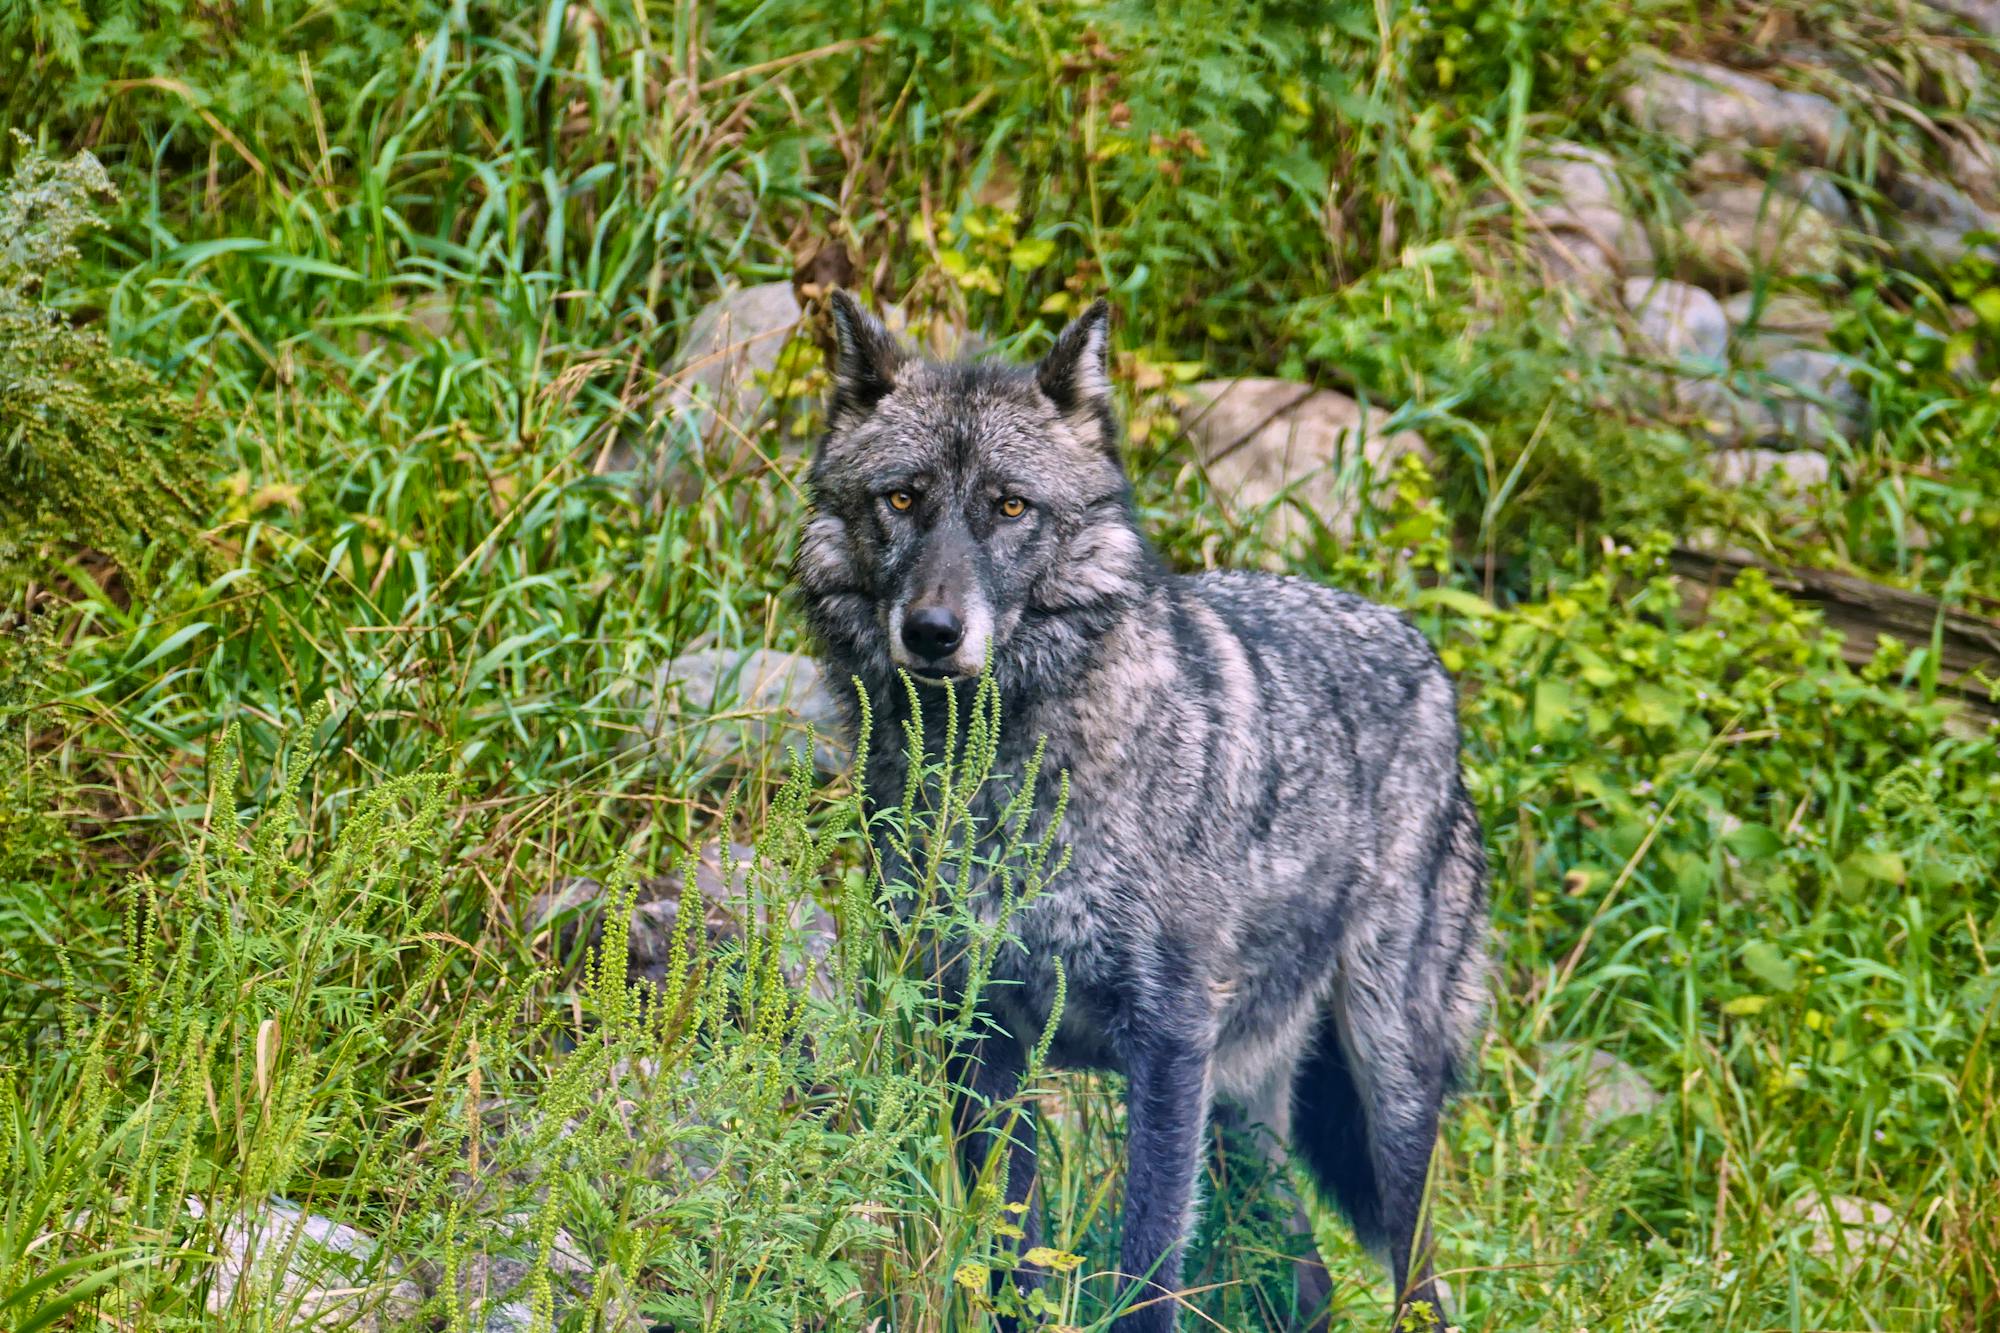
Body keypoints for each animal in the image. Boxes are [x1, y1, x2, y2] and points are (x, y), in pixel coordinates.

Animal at [792, 294, 1488, 1328]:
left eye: (1011, 506)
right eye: (903, 499)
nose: (932, 632)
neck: (998, 790)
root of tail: (1427, 657)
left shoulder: (1167, 1041)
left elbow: (1148, 1268)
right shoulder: (980, 1035)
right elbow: (1012, 1259)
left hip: (1385, 1079)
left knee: (1419, 1283)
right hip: (1245, 1111)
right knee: (1311, 1278)